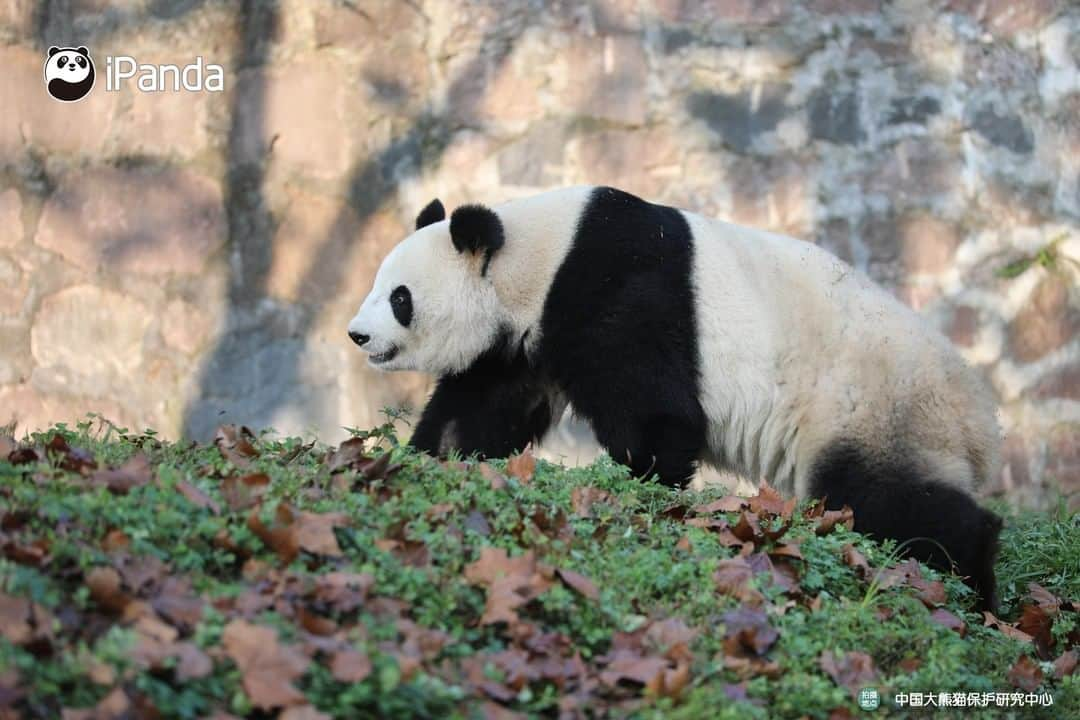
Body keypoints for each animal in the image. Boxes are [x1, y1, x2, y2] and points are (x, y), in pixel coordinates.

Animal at [347, 184, 1002, 608]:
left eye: (399, 297)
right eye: (377, 286)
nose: (358, 335)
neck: (540, 254)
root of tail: (980, 423)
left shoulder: (618, 288)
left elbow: (655, 409)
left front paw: (647, 487)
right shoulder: (522, 341)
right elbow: (484, 408)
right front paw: (428, 459)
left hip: (871, 403)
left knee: (883, 497)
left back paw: (975, 577)